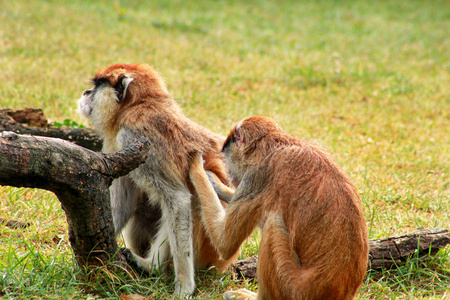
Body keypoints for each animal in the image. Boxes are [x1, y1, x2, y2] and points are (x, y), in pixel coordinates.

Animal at [77, 63, 239, 296]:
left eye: (98, 85)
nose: (86, 93)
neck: (136, 106)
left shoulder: (135, 138)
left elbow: (179, 199)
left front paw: (183, 288)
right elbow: (123, 203)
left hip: (211, 248)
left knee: (193, 200)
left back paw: (149, 266)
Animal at [190, 116, 370, 298]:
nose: (231, 176)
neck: (273, 144)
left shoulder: (258, 176)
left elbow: (225, 244)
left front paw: (197, 168)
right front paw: (216, 183)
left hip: (291, 287)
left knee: (273, 222)